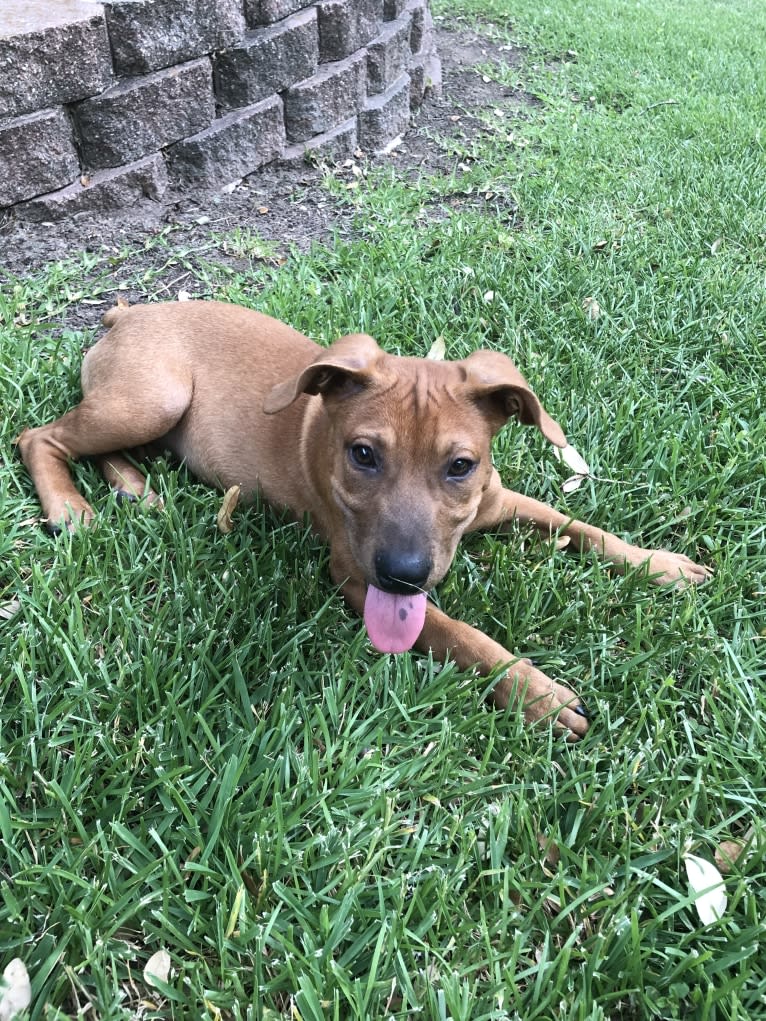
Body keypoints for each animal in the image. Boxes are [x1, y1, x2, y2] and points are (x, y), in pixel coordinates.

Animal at [18, 298, 714, 739]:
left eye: (461, 465)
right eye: (362, 455)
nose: (404, 575)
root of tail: (127, 312)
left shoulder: (503, 500)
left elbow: (583, 528)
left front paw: (660, 565)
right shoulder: (352, 573)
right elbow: (458, 632)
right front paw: (532, 691)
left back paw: (135, 489)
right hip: (151, 398)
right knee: (38, 436)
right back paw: (70, 509)